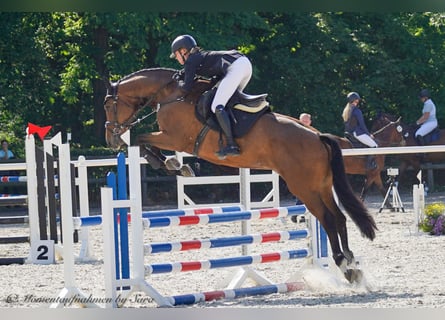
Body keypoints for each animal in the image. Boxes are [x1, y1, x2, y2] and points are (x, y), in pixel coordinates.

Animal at [102, 67, 376, 282]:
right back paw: (352, 264)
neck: (171, 95)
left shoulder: (175, 138)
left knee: (327, 219)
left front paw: (172, 164)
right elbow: (143, 142)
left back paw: (343, 264)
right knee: (339, 217)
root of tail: (317, 136)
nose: (111, 139)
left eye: (107, 105)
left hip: (304, 187)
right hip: (321, 185)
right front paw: (176, 165)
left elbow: (141, 139)